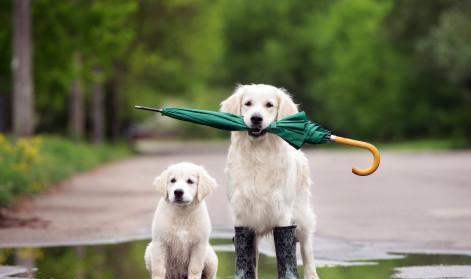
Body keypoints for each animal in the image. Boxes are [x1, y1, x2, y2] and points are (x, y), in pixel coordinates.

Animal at [222, 84, 320, 278]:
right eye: (248, 103)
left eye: (269, 105)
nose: (256, 118)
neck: (258, 153)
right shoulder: (242, 213)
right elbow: (246, 255)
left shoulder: (282, 213)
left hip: (302, 214)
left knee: (306, 249)